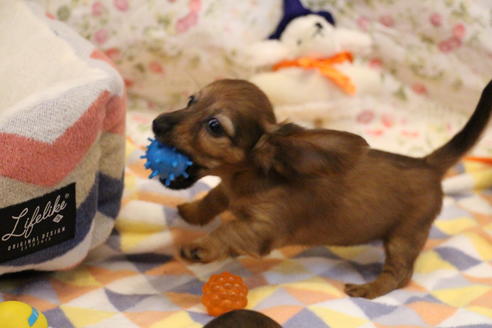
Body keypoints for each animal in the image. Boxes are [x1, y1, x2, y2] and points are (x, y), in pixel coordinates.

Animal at [152, 78, 490, 298]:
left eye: (214, 127)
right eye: (191, 101)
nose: (156, 123)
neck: (249, 180)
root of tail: (427, 164)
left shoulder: (261, 229)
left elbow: (227, 231)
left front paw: (201, 247)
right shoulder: (227, 192)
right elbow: (214, 197)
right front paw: (192, 211)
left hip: (404, 237)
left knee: (400, 275)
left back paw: (370, 289)